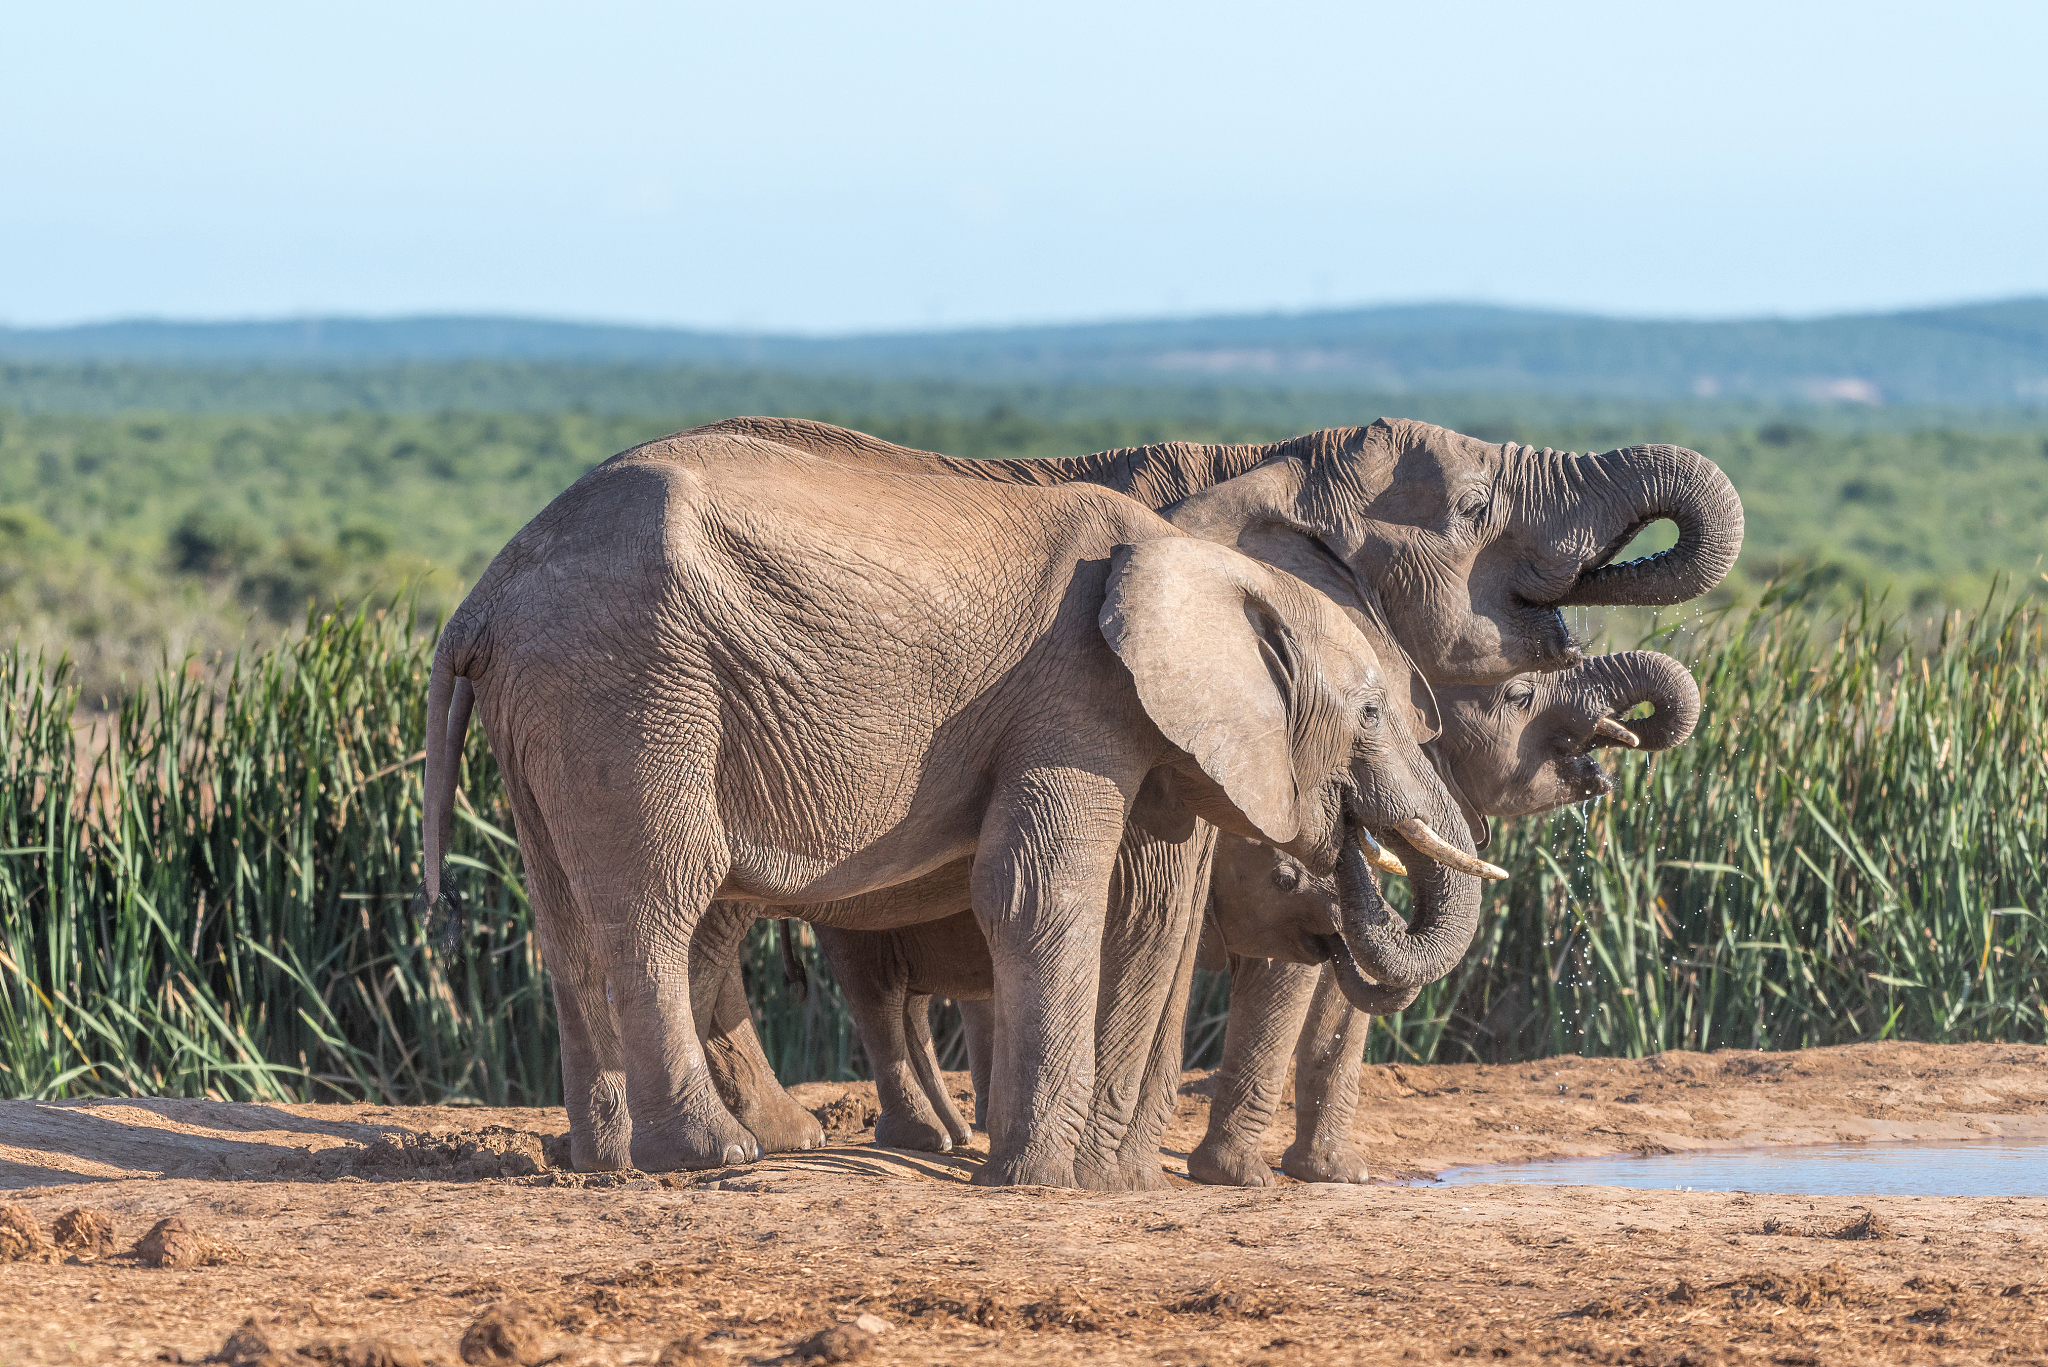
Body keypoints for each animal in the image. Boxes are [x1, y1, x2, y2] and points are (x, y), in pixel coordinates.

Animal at [418, 428, 1494, 1187]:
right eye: (1369, 711)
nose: (1351, 840)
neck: (1198, 559)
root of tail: (482, 596)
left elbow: (1134, 908)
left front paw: (1076, 1177)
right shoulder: (1071, 696)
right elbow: (1037, 891)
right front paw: (1038, 1180)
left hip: (549, 706)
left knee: (565, 920)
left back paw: (608, 1163)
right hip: (635, 689)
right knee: (657, 902)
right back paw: (713, 1156)